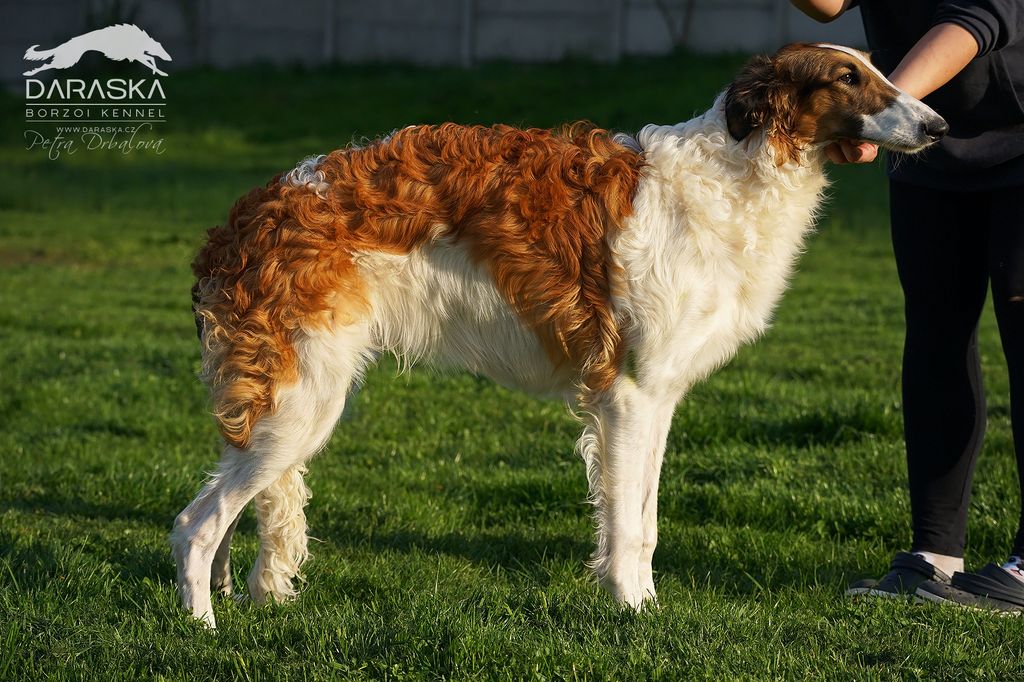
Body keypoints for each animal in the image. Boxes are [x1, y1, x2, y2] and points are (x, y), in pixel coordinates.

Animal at [172, 43, 946, 626]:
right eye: (848, 78)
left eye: (877, 70)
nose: (938, 125)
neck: (732, 171)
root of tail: (248, 214)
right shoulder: (628, 394)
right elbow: (628, 525)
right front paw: (632, 612)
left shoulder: (657, 397)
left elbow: (644, 520)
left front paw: (640, 605)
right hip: (301, 402)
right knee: (195, 524)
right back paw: (202, 628)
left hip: (284, 404)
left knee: (230, 512)